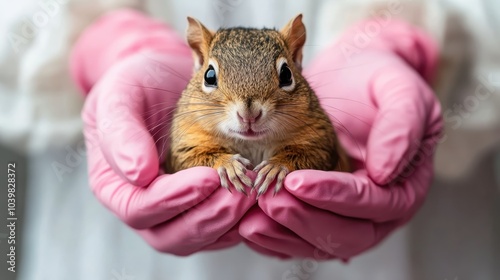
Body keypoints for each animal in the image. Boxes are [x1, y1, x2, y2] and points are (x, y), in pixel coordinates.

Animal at [166, 14, 350, 197]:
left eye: (286, 74)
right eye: (209, 76)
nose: (249, 115)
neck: (252, 143)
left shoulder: (321, 143)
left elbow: (314, 155)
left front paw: (276, 167)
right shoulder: (187, 141)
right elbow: (189, 158)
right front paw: (228, 165)